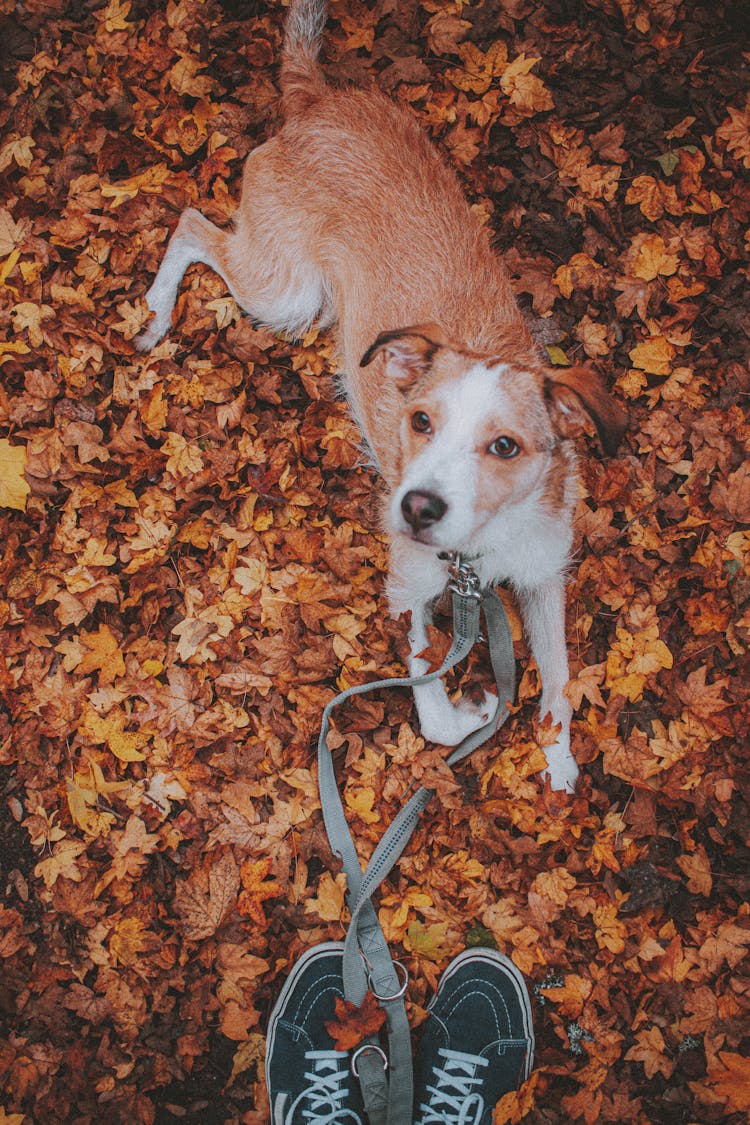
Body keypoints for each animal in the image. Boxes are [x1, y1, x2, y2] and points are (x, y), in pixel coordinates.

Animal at [136, 0, 629, 792]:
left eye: (505, 446)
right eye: (420, 421)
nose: (416, 507)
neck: (479, 553)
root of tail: (316, 101)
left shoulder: (543, 576)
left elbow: (557, 682)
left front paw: (556, 760)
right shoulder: (412, 583)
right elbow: (429, 694)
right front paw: (469, 711)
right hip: (285, 291)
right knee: (190, 225)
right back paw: (154, 310)